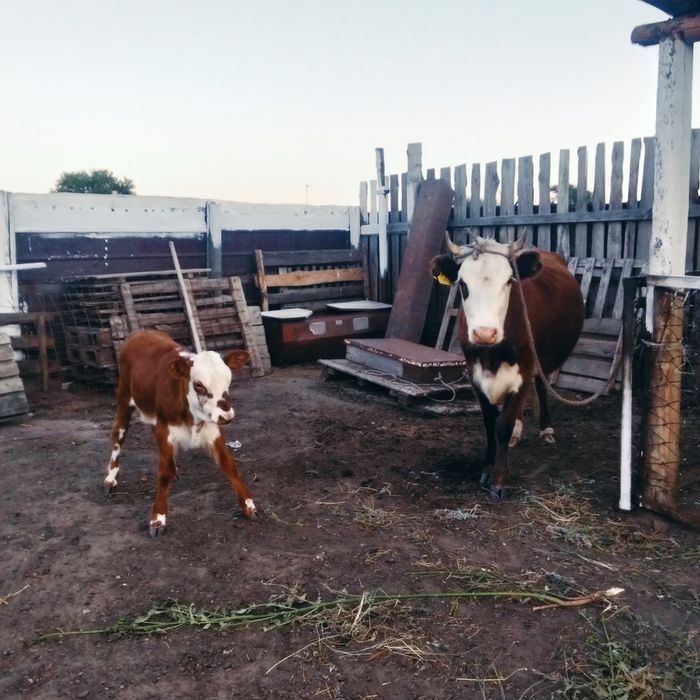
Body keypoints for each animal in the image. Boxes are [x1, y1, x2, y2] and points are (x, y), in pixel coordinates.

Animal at [103, 330, 256, 537]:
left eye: (228, 380)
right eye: (198, 384)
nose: (227, 416)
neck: (192, 416)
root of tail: (141, 332)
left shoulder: (212, 429)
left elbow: (229, 465)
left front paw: (248, 505)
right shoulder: (165, 429)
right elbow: (164, 472)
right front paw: (158, 518)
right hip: (124, 397)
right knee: (118, 435)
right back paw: (110, 479)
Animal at [432, 234, 584, 498]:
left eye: (508, 282)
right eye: (463, 285)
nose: (484, 333)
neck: (491, 353)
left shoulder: (524, 369)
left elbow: (503, 425)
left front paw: (500, 480)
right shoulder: (474, 376)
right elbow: (490, 423)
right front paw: (487, 469)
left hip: (539, 360)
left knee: (540, 386)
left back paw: (546, 429)